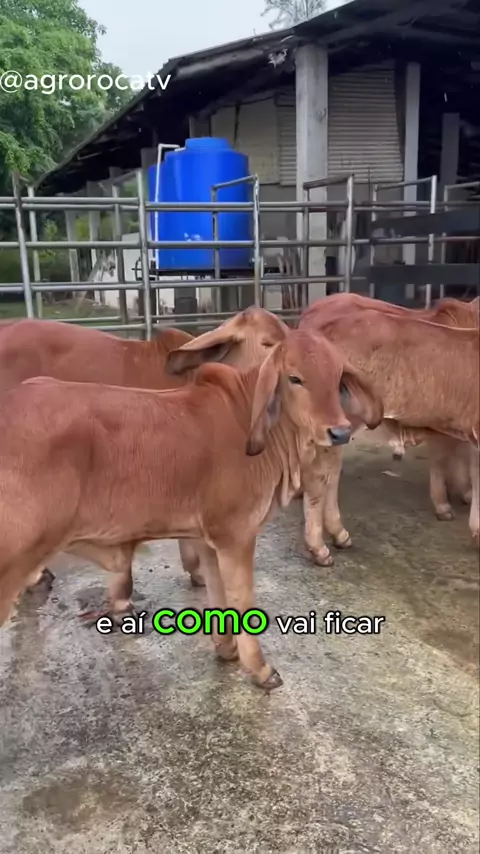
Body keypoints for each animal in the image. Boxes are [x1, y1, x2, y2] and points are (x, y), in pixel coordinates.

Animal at [0, 328, 382, 690]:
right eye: (294, 378)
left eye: (337, 377)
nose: (339, 432)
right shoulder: (236, 535)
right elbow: (243, 600)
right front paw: (260, 669)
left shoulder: (206, 538)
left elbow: (217, 593)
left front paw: (226, 649)